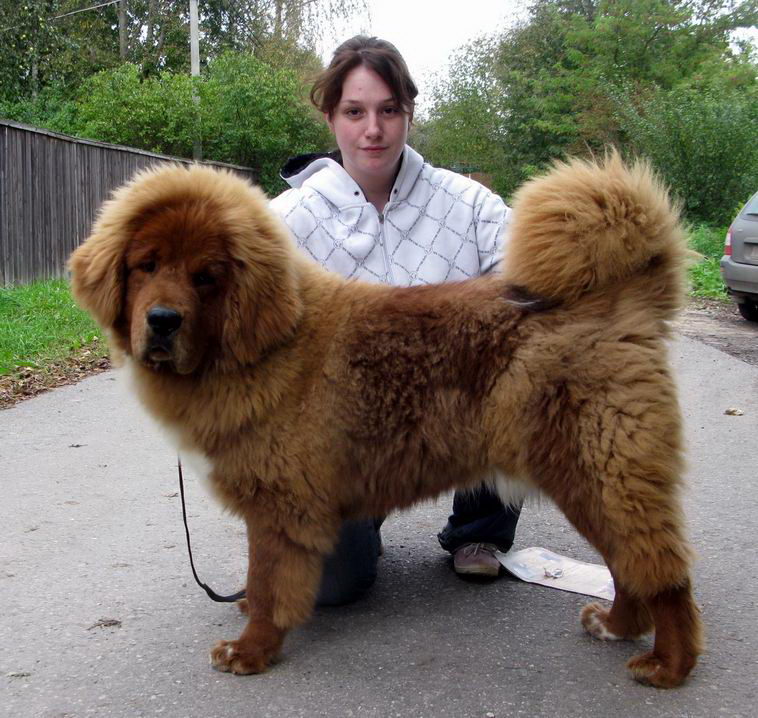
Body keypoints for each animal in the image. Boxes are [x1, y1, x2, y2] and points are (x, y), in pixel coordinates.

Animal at [69, 153, 702, 687]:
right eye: (145, 265)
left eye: (206, 276)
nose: (163, 320)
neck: (263, 346)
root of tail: (619, 299)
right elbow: (263, 582)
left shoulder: (279, 509)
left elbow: (271, 584)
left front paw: (251, 650)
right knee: (631, 563)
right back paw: (616, 627)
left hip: (600, 473)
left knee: (659, 570)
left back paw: (668, 664)